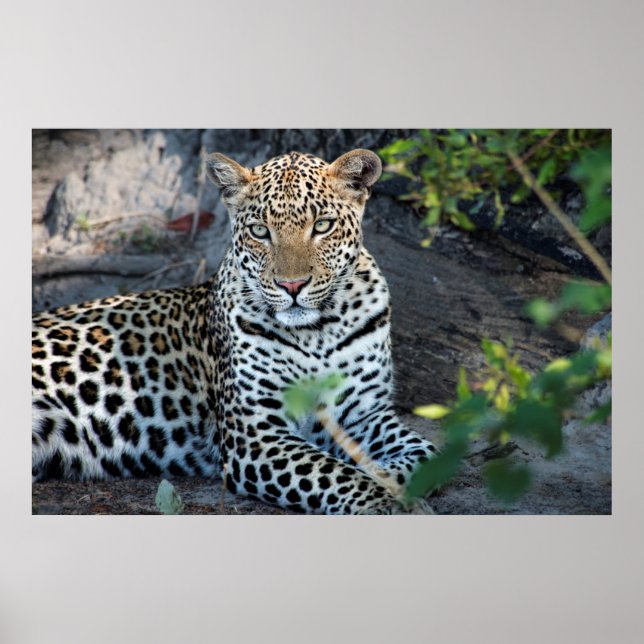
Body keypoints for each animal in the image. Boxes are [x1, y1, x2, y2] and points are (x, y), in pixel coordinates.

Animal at [32, 148, 437, 514]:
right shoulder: (255, 434)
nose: (292, 286)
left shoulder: (366, 413)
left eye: (322, 225)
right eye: (260, 231)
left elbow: (424, 454)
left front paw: (390, 481)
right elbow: (334, 472)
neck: (317, 332)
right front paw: (383, 503)